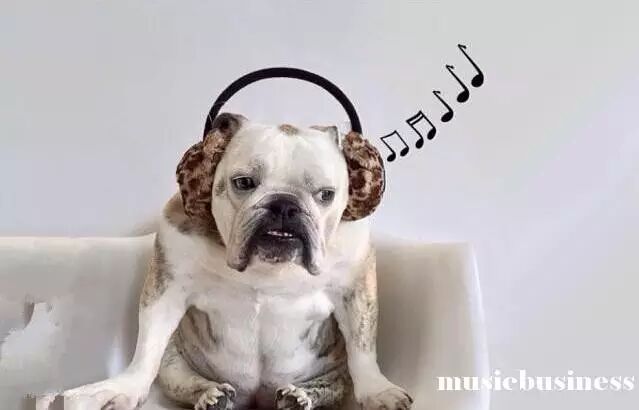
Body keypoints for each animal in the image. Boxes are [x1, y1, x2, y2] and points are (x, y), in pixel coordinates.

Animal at [57, 114, 412, 410]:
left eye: (325, 194)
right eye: (243, 182)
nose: (284, 205)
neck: (268, 269)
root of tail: (256, 399)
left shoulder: (356, 291)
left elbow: (363, 347)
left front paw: (377, 391)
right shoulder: (166, 288)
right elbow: (148, 346)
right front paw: (124, 388)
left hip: (332, 372)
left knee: (332, 383)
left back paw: (298, 396)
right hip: (177, 363)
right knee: (177, 373)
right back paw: (212, 396)